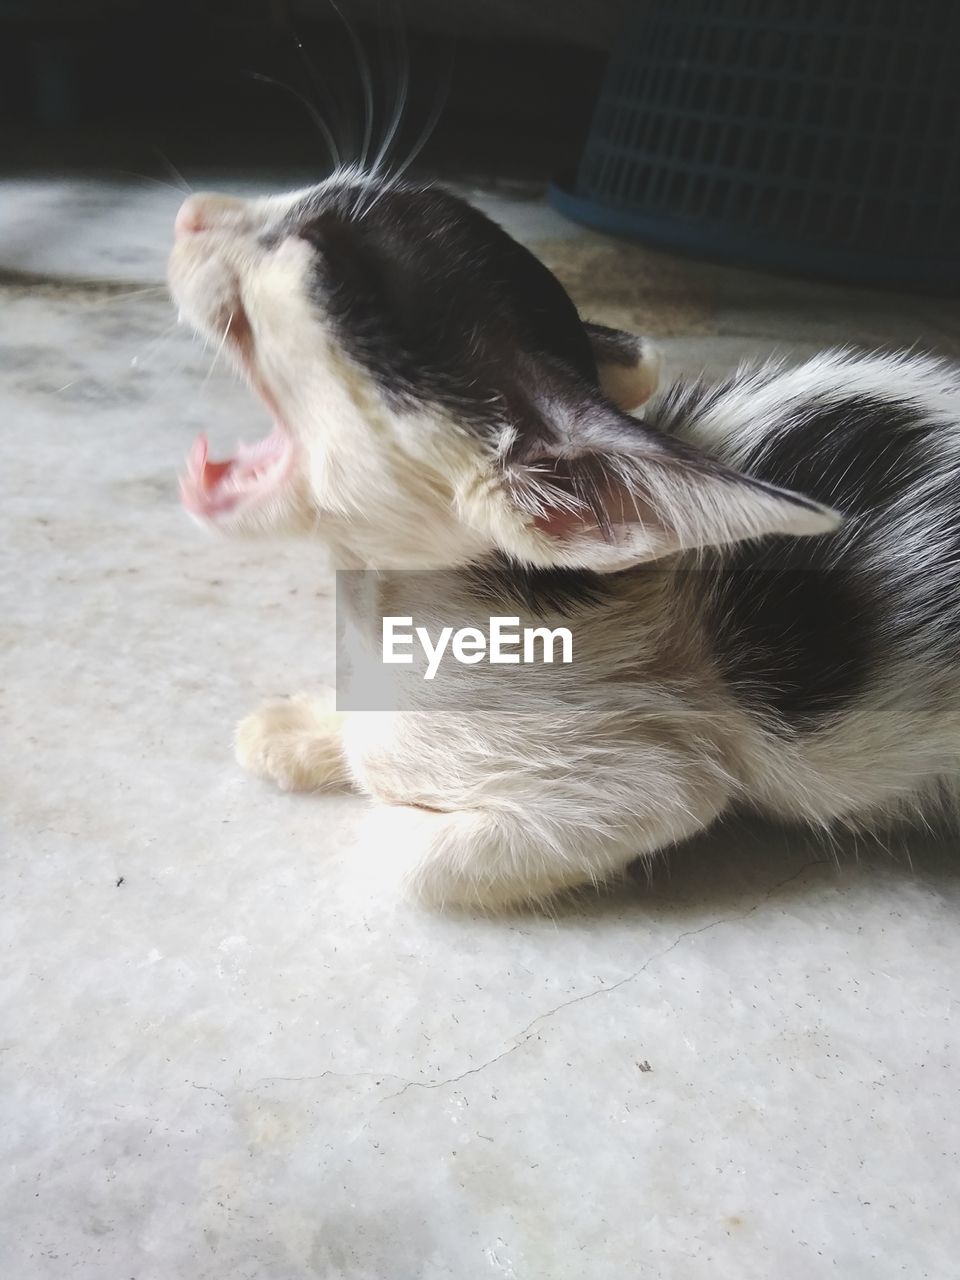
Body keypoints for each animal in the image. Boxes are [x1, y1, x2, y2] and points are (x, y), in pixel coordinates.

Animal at [168, 172, 960, 911]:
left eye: (318, 257)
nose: (189, 211)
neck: (384, 610)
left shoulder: (649, 780)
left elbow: (406, 856)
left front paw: (381, 792)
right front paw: (302, 727)